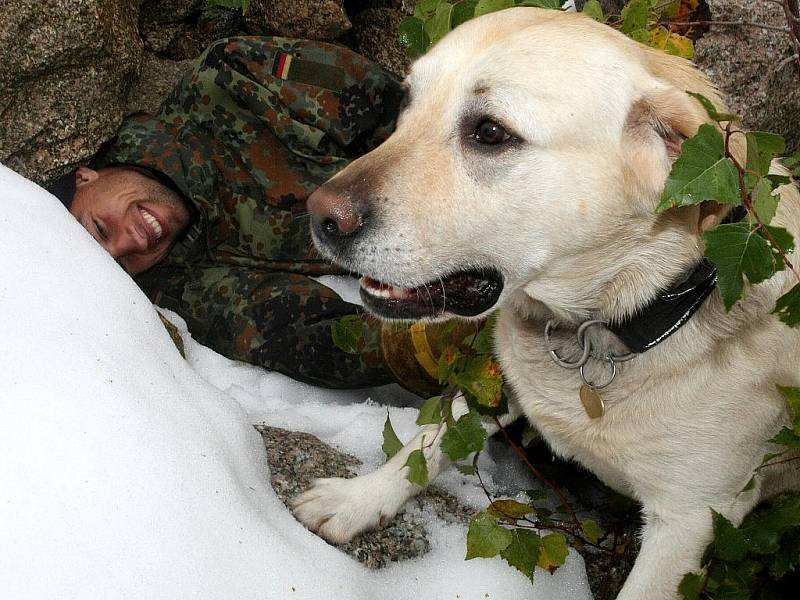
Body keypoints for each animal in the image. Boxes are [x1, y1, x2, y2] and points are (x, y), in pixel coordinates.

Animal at [294, 5, 800, 600]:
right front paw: (357, 499)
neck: (599, 332)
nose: (319, 216)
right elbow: (425, 441)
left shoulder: (687, 524)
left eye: (491, 132)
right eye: (406, 103)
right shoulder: (494, 380)